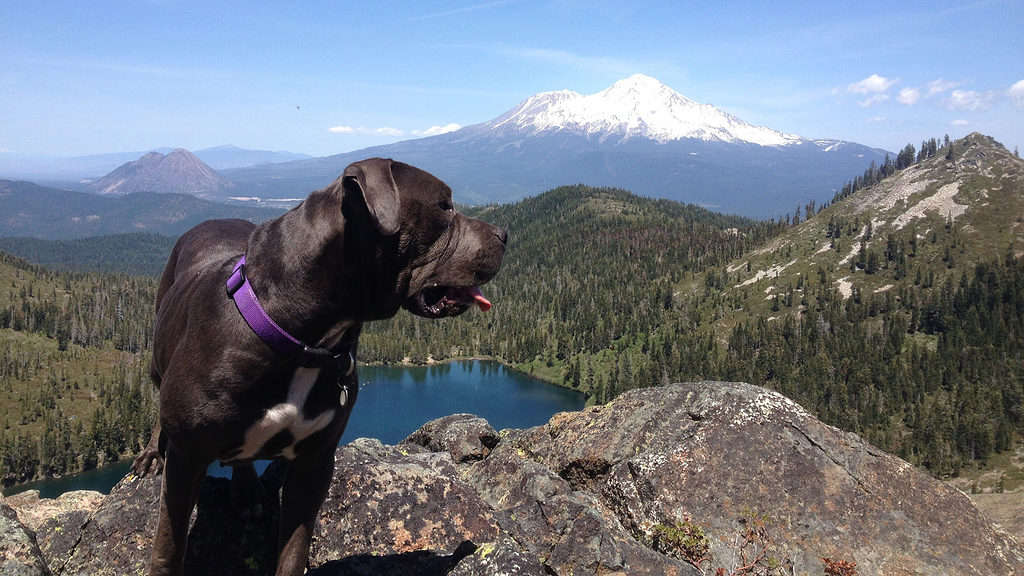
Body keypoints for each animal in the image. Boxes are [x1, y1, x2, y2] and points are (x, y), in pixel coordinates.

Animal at [132, 157, 507, 573]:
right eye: (443, 206)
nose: (505, 234)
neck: (303, 342)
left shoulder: (315, 462)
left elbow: (294, 548)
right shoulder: (187, 459)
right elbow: (168, 547)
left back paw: (246, 490)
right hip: (157, 351)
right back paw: (151, 453)